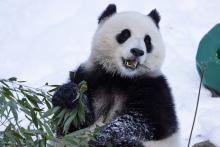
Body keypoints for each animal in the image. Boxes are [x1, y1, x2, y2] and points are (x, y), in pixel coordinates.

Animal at [52, 3, 180, 147]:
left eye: (147, 40)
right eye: (125, 34)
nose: (137, 51)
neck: (120, 76)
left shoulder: (154, 87)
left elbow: (140, 119)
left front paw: (103, 136)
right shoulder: (89, 76)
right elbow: (76, 121)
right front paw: (68, 94)